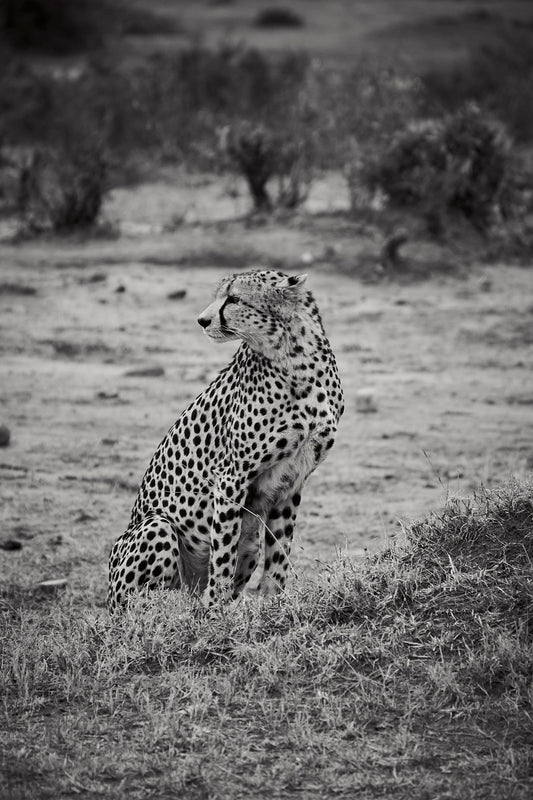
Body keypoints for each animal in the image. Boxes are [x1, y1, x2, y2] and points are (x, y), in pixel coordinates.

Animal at [106, 268, 342, 612]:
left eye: (234, 299)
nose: (202, 320)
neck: (294, 357)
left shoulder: (292, 481)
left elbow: (279, 552)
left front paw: (274, 604)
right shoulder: (232, 476)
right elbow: (223, 551)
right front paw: (215, 607)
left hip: (251, 540)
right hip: (156, 526)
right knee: (143, 606)